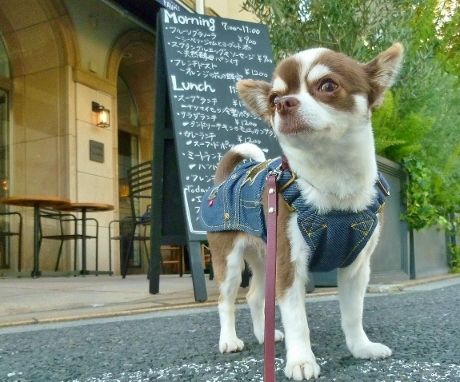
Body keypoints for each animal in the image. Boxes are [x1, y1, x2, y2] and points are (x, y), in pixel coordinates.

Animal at [201, 42, 402, 380]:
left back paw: (265, 336)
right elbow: (297, 320)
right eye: (273, 98)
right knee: (225, 299)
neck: (334, 182)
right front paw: (300, 361)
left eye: (328, 86)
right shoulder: (289, 265)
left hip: (264, 256)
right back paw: (229, 340)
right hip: (229, 260)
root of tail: (225, 177)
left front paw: (361, 347)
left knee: (255, 297)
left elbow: (353, 313)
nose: (283, 103)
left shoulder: (356, 267)